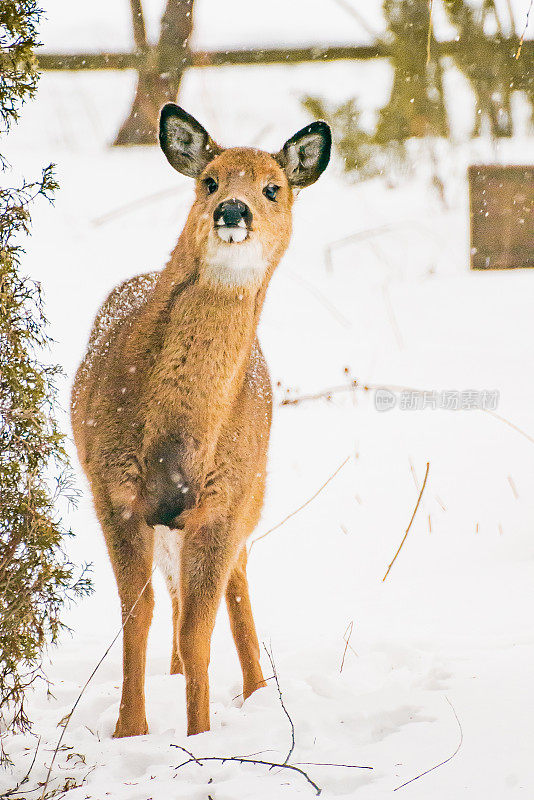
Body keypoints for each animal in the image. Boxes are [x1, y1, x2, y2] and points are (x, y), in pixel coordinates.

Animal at [71, 104, 330, 736]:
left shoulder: (223, 502)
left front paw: (199, 734)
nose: (232, 210)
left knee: (234, 581)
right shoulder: (112, 491)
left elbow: (198, 626)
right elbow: (137, 616)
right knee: (175, 592)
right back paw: (181, 678)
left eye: (273, 188)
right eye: (209, 180)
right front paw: (131, 730)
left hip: (251, 491)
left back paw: (257, 691)